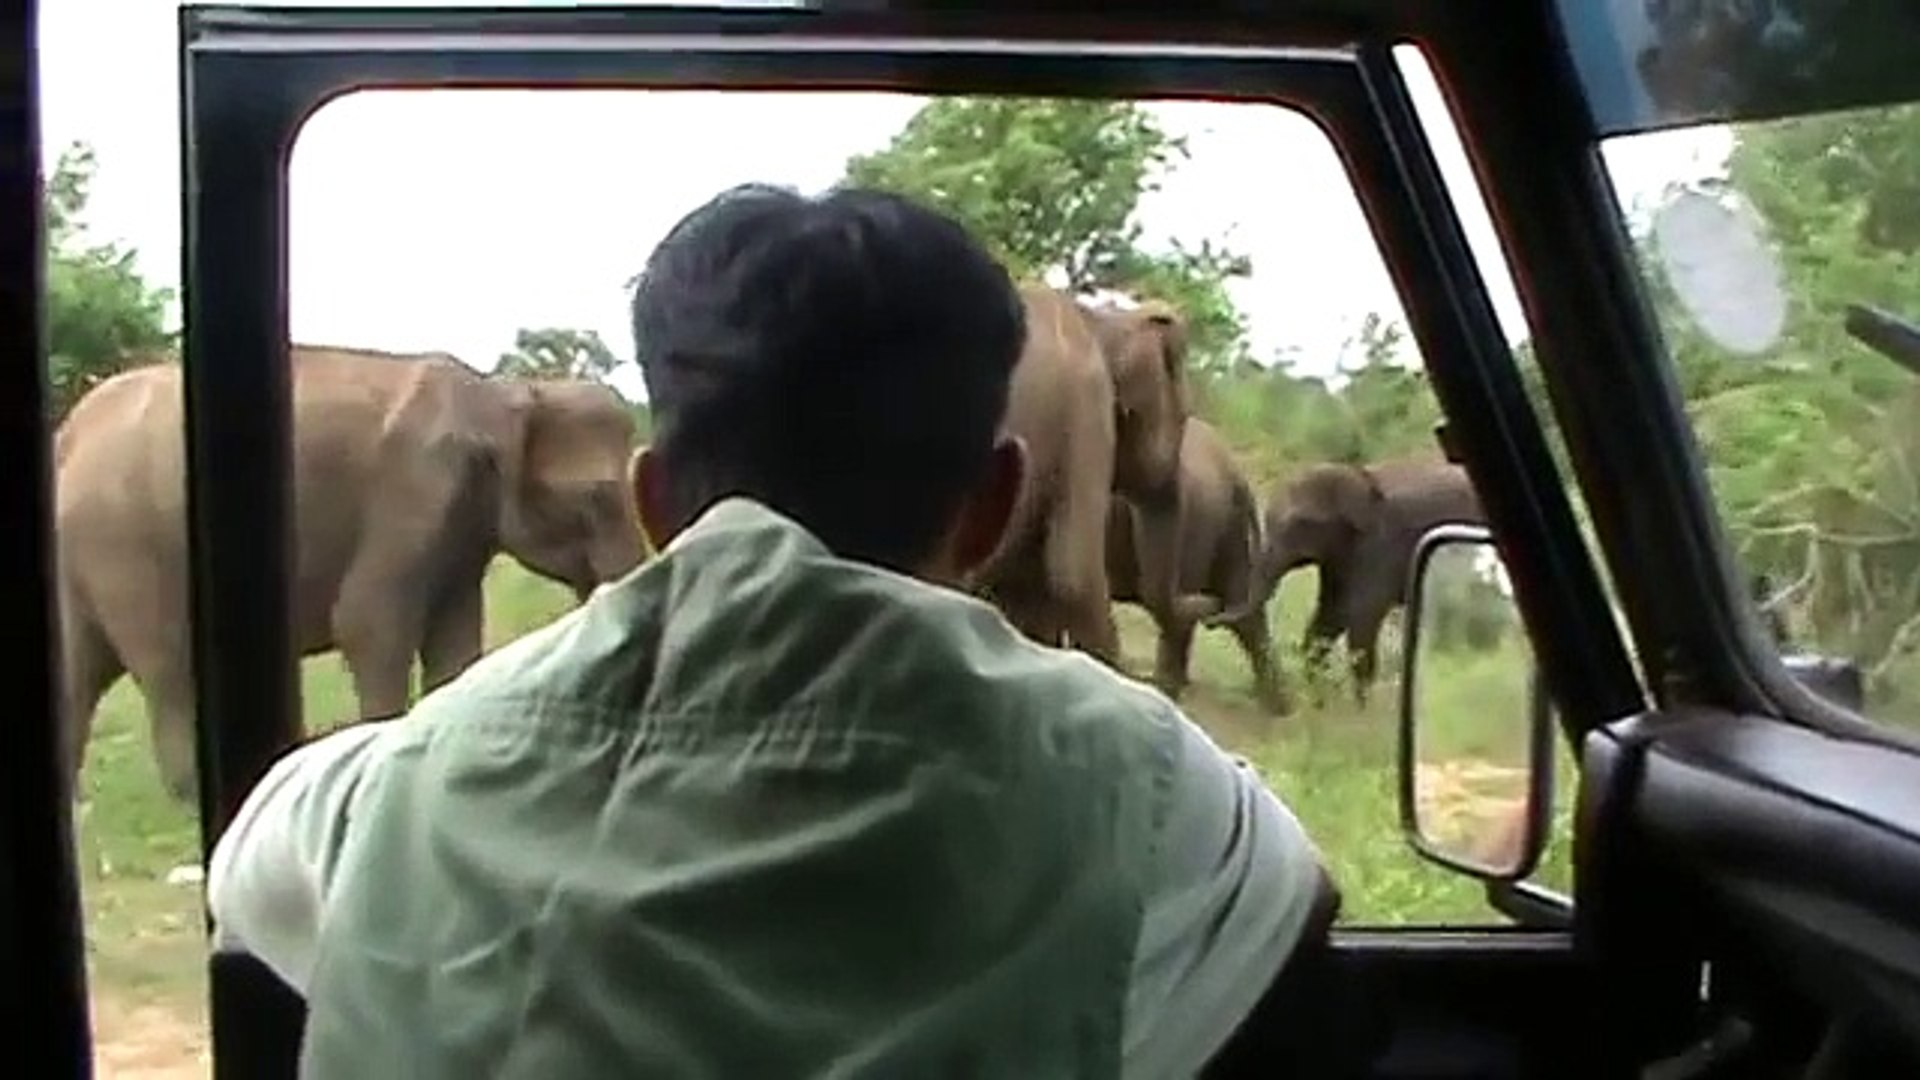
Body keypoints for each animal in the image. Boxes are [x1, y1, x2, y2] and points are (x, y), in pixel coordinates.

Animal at [52, 343, 648, 799]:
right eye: (598, 497)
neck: (503, 394)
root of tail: (67, 437)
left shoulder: (459, 530)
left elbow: (454, 637)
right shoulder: (413, 487)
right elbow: (367, 623)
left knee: (80, 666)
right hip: (125, 545)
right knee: (169, 665)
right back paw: (191, 796)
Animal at [1113, 417, 1290, 711]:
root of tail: (1237, 476)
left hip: (1202, 522)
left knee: (1180, 616)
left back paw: (1166, 692)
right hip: (1225, 528)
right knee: (1243, 611)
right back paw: (1279, 706)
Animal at [1205, 453, 1489, 707]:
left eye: (1300, 524)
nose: (1210, 615)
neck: (1356, 475)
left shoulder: (1381, 546)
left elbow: (1362, 618)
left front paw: (1360, 712)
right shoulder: (1339, 557)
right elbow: (1331, 615)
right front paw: (1317, 700)